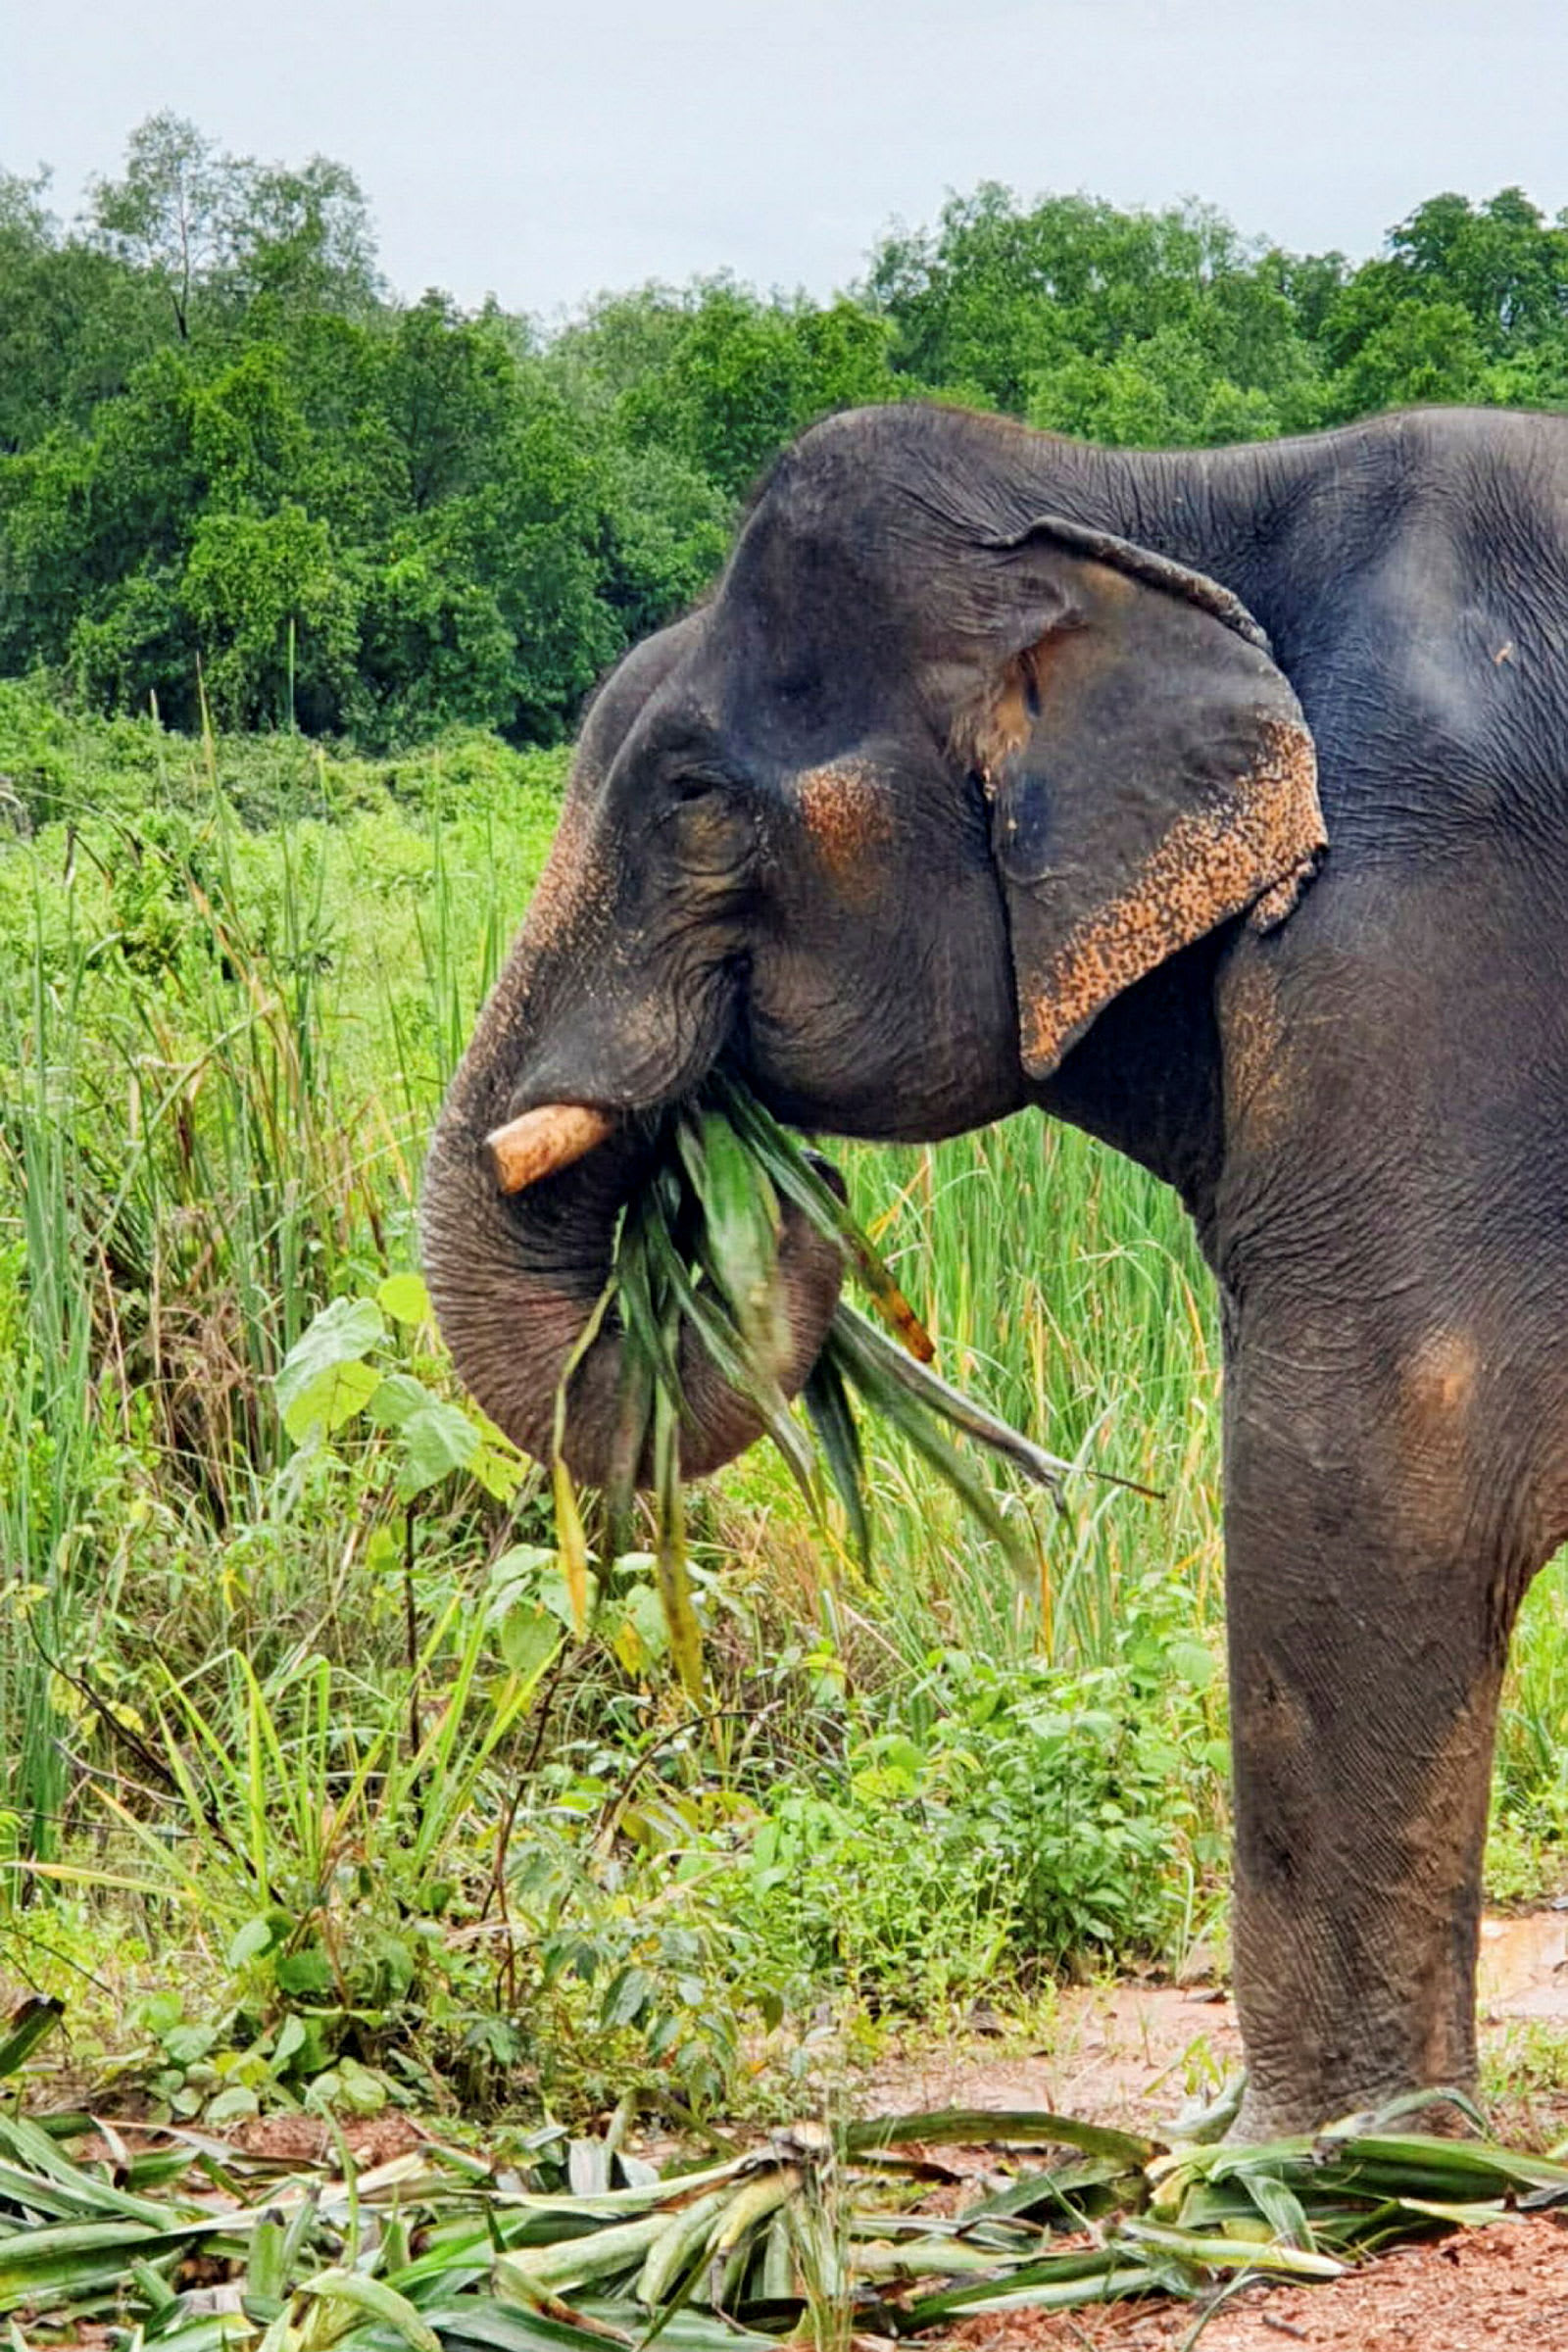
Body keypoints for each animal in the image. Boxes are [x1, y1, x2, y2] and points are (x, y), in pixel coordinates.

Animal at [421, 397, 1568, 2137]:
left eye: (693, 798)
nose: (767, 1192)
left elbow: (1371, 1464)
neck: (1151, 496)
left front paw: (1316, 2166)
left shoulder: (1414, 928)